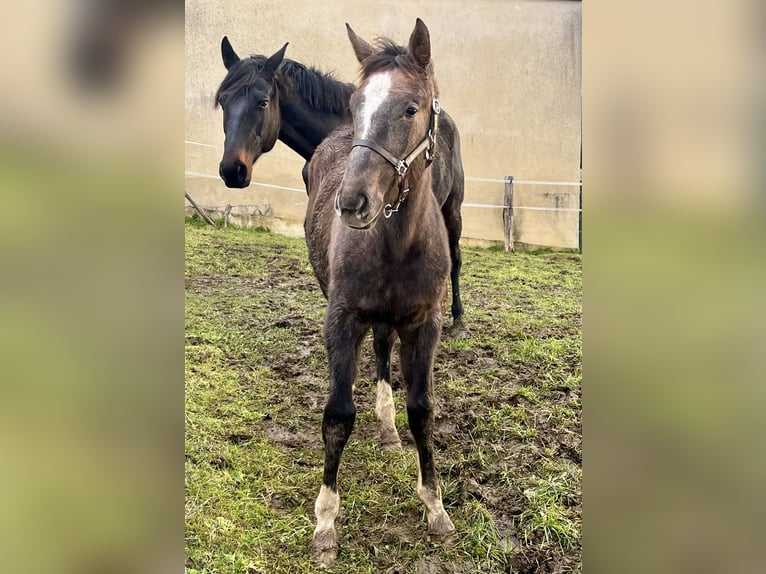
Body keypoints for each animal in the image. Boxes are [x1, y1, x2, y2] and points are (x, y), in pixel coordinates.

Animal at [304, 16, 456, 568]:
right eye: (355, 105)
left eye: (411, 107)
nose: (352, 202)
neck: (397, 246)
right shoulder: (342, 318)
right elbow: (337, 416)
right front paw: (326, 522)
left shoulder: (425, 323)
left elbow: (422, 411)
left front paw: (436, 509)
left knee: (385, 350)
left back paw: (388, 429)